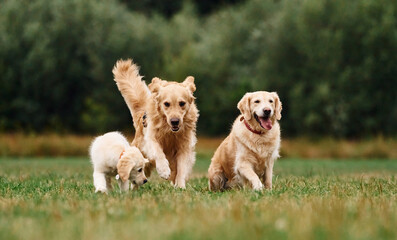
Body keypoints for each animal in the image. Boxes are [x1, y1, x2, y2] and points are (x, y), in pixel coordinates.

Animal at [111, 59, 198, 188]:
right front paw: (164, 170)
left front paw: (181, 186)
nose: (175, 121)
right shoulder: (150, 139)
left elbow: (182, 168)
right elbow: (158, 152)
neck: (169, 131)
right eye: (166, 104)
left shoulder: (184, 147)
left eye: (182, 103)